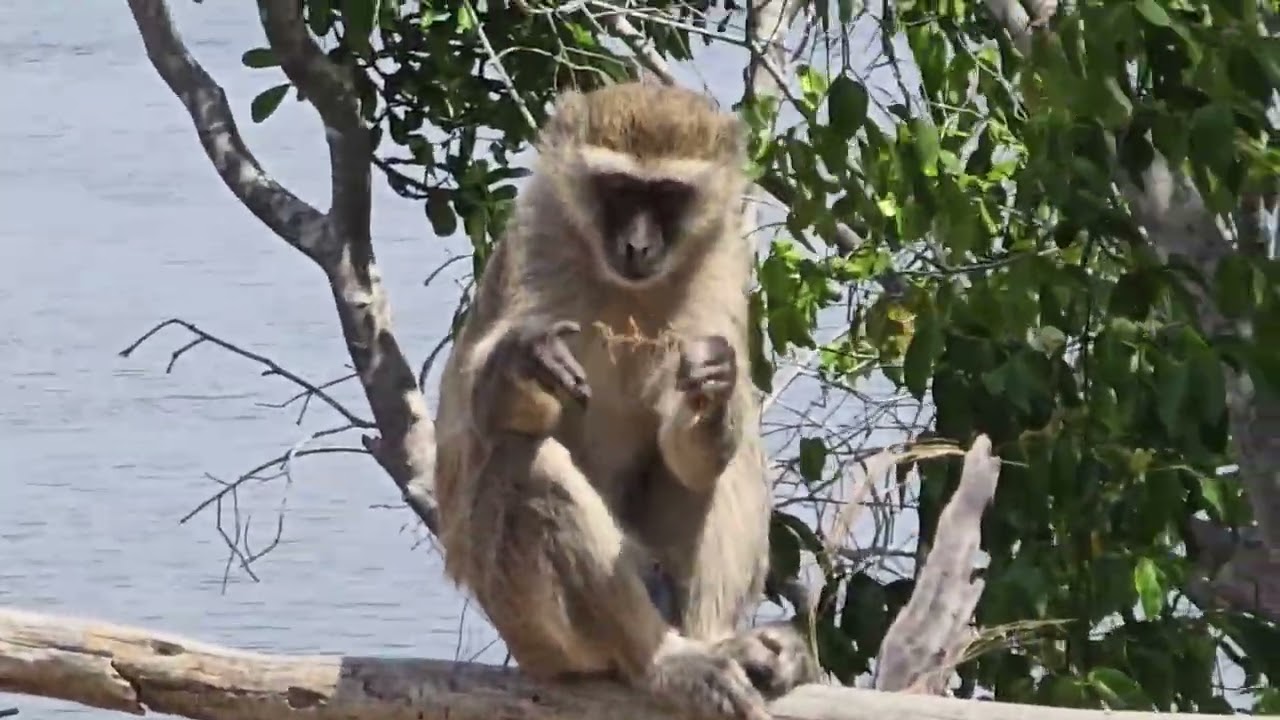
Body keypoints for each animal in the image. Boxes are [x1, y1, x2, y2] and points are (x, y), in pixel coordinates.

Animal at [431, 81, 819, 720]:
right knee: (526, 463)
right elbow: (476, 419)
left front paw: (715, 388)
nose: (638, 245)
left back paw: (727, 645)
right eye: (617, 190)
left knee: (726, 462)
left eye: (665, 196)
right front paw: (523, 359)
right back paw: (661, 662)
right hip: (537, 634)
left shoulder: (724, 258)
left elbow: (693, 450)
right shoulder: (536, 237)